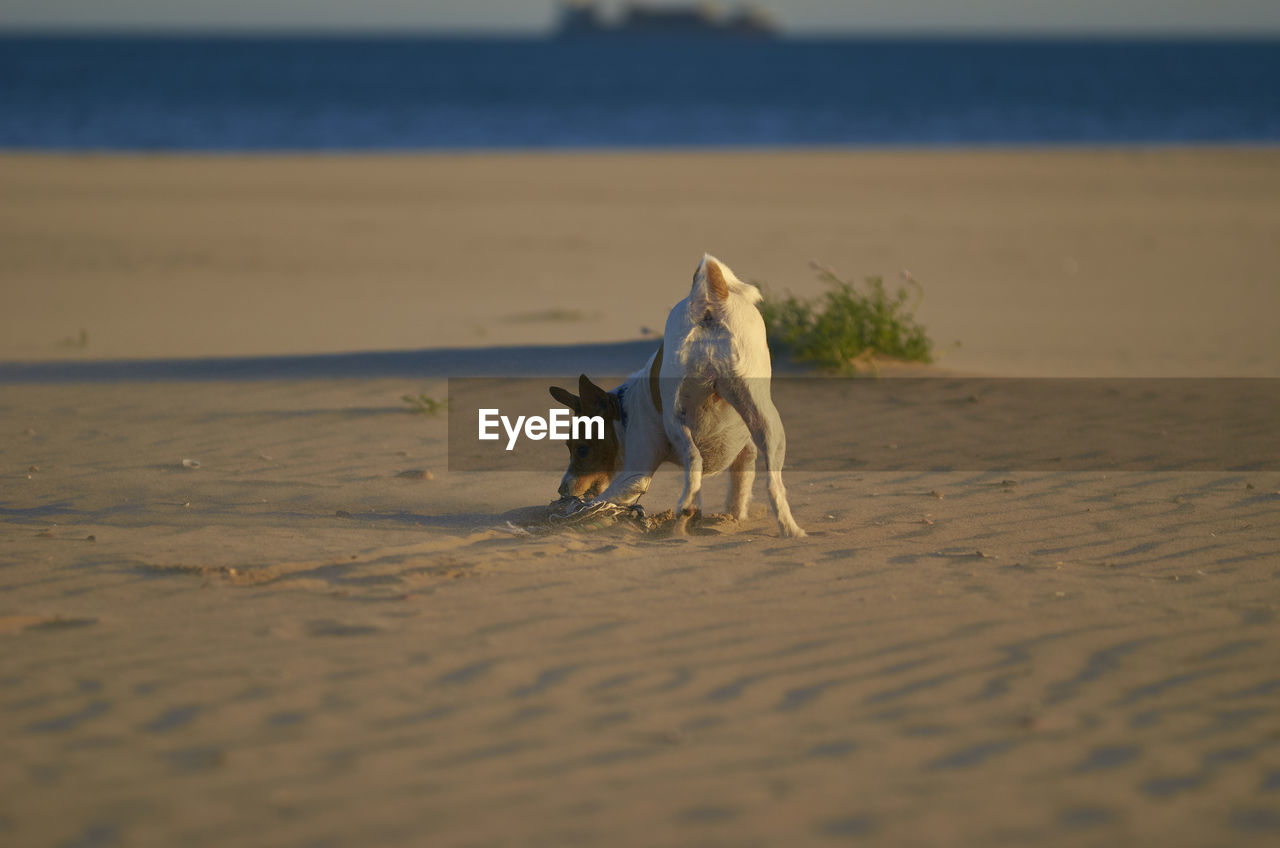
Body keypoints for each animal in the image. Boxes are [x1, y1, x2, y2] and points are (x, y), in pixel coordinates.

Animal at [545, 252, 803, 538]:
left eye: (581, 449)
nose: (561, 489)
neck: (624, 410)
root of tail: (709, 302)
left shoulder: (635, 475)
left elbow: (597, 501)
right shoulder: (746, 452)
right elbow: (739, 490)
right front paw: (730, 518)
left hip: (675, 416)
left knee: (694, 459)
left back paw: (686, 508)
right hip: (766, 424)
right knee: (771, 484)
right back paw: (789, 529)